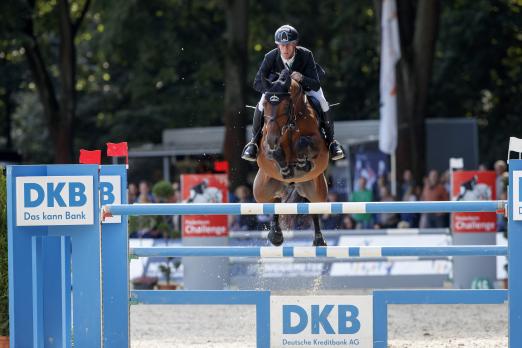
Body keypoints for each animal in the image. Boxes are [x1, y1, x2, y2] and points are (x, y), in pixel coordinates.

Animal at [253, 68, 330, 247]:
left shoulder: (318, 145)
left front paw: (302, 163)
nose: (272, 139)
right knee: (274, 203)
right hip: (262, 191)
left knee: (313, 209)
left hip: (317, 192)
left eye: (286, 104)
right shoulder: (265, 148)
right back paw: (275, 235)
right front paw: (286, 168)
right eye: (265, 105)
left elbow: (303, 142)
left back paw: (319, 240)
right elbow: (274, 152)